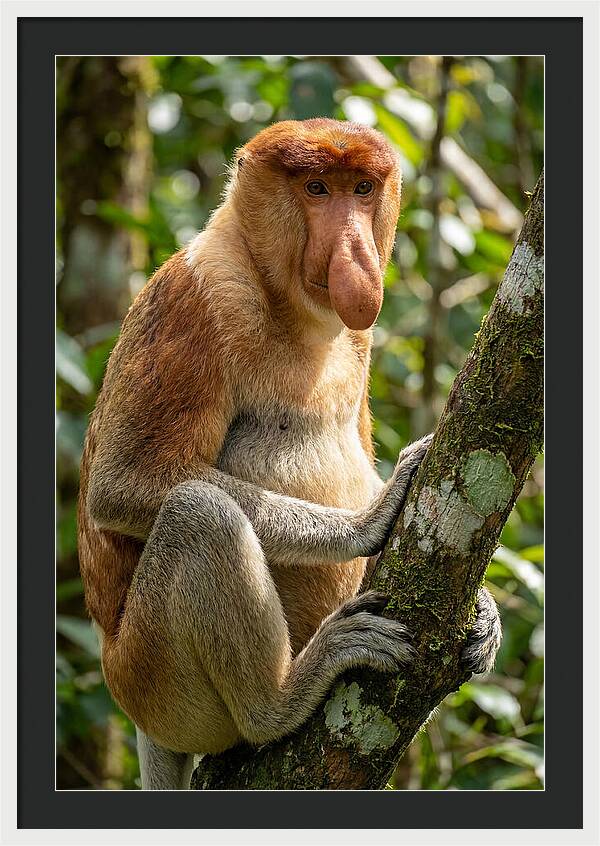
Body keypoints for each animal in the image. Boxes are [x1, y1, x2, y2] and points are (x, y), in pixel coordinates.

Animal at [77, 118, 501, 791]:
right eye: (316, 189)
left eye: (361, 188)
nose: (355, 251)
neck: (292, 307)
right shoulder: (196, 299)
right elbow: (123, 483)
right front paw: (369, 520)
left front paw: (484, 611)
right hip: (151, 682)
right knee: (200, 514)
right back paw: (282, 698)